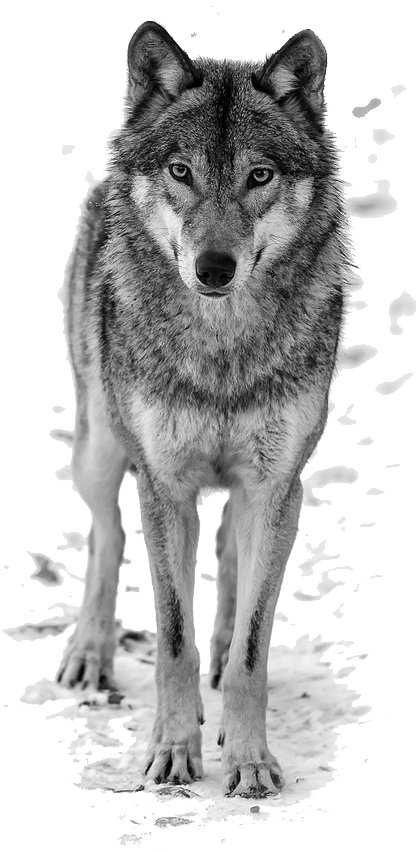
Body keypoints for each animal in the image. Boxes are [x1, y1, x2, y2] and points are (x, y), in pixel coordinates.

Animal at [56, 21, 353, 798]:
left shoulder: (277, 484)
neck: (222, 352)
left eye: (259, 176)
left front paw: (247, 761)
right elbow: (170, 639)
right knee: (107, 535)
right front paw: (173, 753)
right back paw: (90, 655)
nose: (213, 269)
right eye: (182, 171)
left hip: (259, 492)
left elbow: (253, 647)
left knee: (228, 554)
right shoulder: (166, 484)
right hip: (100, 448)